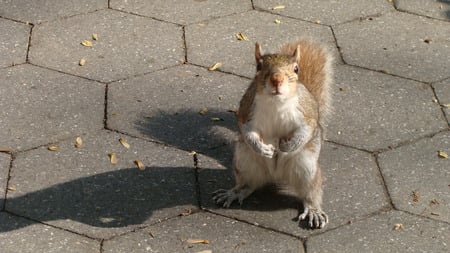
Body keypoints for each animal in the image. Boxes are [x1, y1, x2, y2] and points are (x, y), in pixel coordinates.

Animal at [213, 39, 332, 229]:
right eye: (259, 66)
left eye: (296, 69)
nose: (277, 79)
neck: (276, 102)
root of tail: (276, 175)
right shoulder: (247, 109)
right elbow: (246, 130)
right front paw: (263, 148)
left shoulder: (307, 112)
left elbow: (308, 128)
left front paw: (288, 145)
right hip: (244, 162)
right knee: (248, 184)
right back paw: (234, 193)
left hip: (307, 168)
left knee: (311, 193)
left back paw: (314, 211)